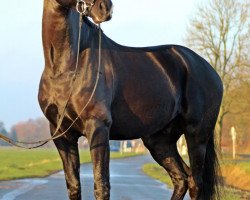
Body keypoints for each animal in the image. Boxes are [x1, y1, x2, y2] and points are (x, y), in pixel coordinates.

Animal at [38, 0, 223, 199]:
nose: (106, 8)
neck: (67, 66)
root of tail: (209, 70)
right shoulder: (62, 135)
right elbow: (73, 186)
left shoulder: (98, 127)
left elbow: (101, 185)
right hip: (159, 141)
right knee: (181, 177)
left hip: (197, 136)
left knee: (195, 182)